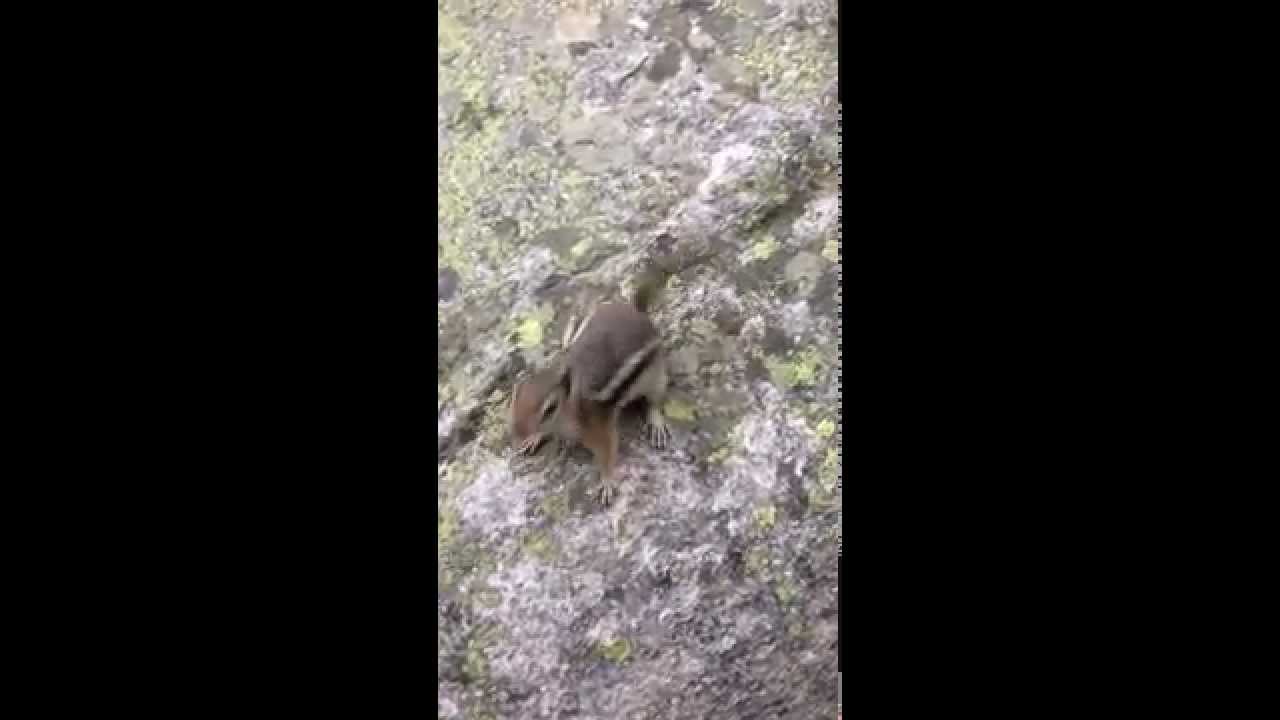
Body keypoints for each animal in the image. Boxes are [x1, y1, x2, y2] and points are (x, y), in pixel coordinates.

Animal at [509, 264, 674, 505]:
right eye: (516, 397)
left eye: (550, 409)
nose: (519, 433)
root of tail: (637, 311)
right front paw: (533, 439)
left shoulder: (596, 423)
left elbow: (608, 450)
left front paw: (606, 482)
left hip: (655, 375)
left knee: (655, 400)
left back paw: (656, 424)